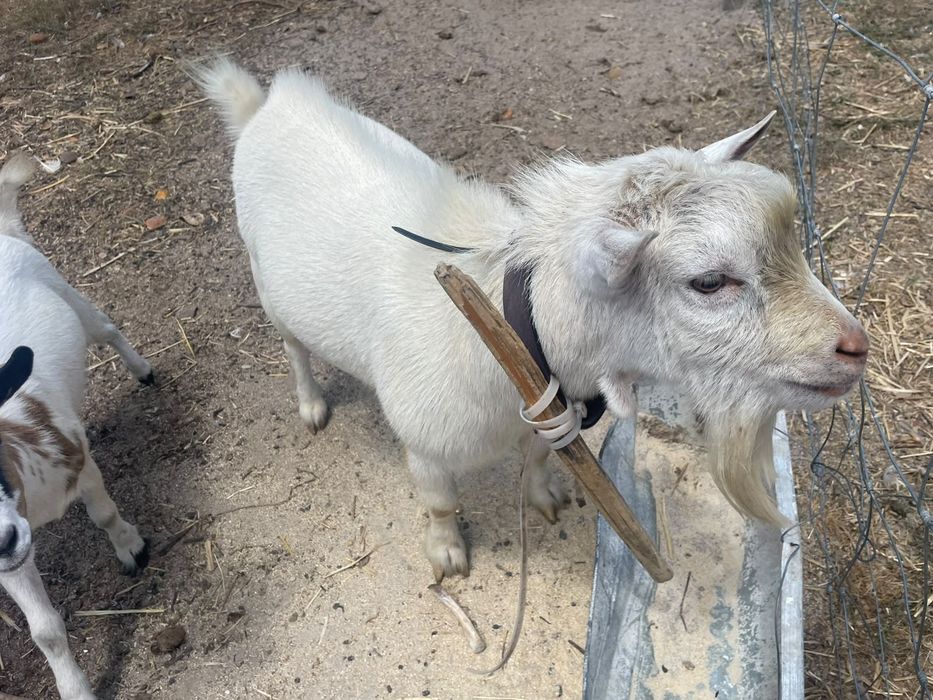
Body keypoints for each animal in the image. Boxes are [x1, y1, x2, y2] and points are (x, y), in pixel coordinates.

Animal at [0, 153, 154, 700]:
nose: (3, 541)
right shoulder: (11, 560)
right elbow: (44, 631)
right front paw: (76, 689)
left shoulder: (79, 460)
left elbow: (104, 514)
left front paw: (132, 548)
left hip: (69, 295)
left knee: (106, 327)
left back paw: (143, 370)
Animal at [196, 59, 868, 581]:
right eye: (709, 281)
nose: (855, 347)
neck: (515, 337)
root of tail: (268, 104)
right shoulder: (425, 443)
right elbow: (439, 503)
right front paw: (448, 555)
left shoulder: (551, 417)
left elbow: (542, 457)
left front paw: (546, 496)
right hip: (267, 283)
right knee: (293, 348)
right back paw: (310, 403)